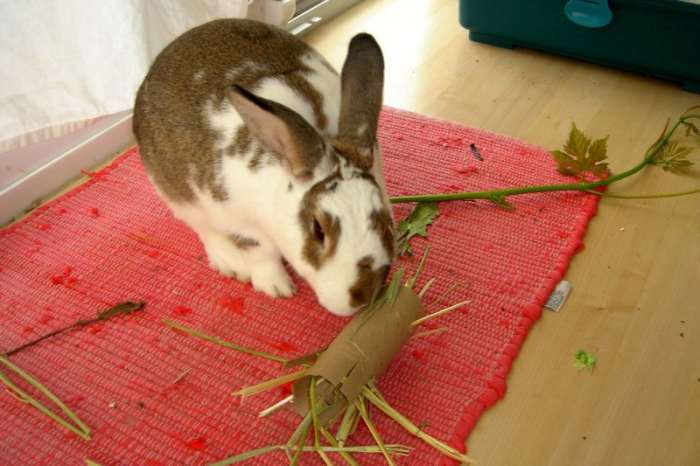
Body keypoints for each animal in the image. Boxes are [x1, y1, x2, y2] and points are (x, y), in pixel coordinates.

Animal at [133, 19, 395, 316]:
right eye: (318, 230)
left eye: (385, 220)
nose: (361, 298)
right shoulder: (244, 226)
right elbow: (263, 255)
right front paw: (277, 288)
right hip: (180, 198)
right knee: (204, 230)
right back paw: (229, 262)